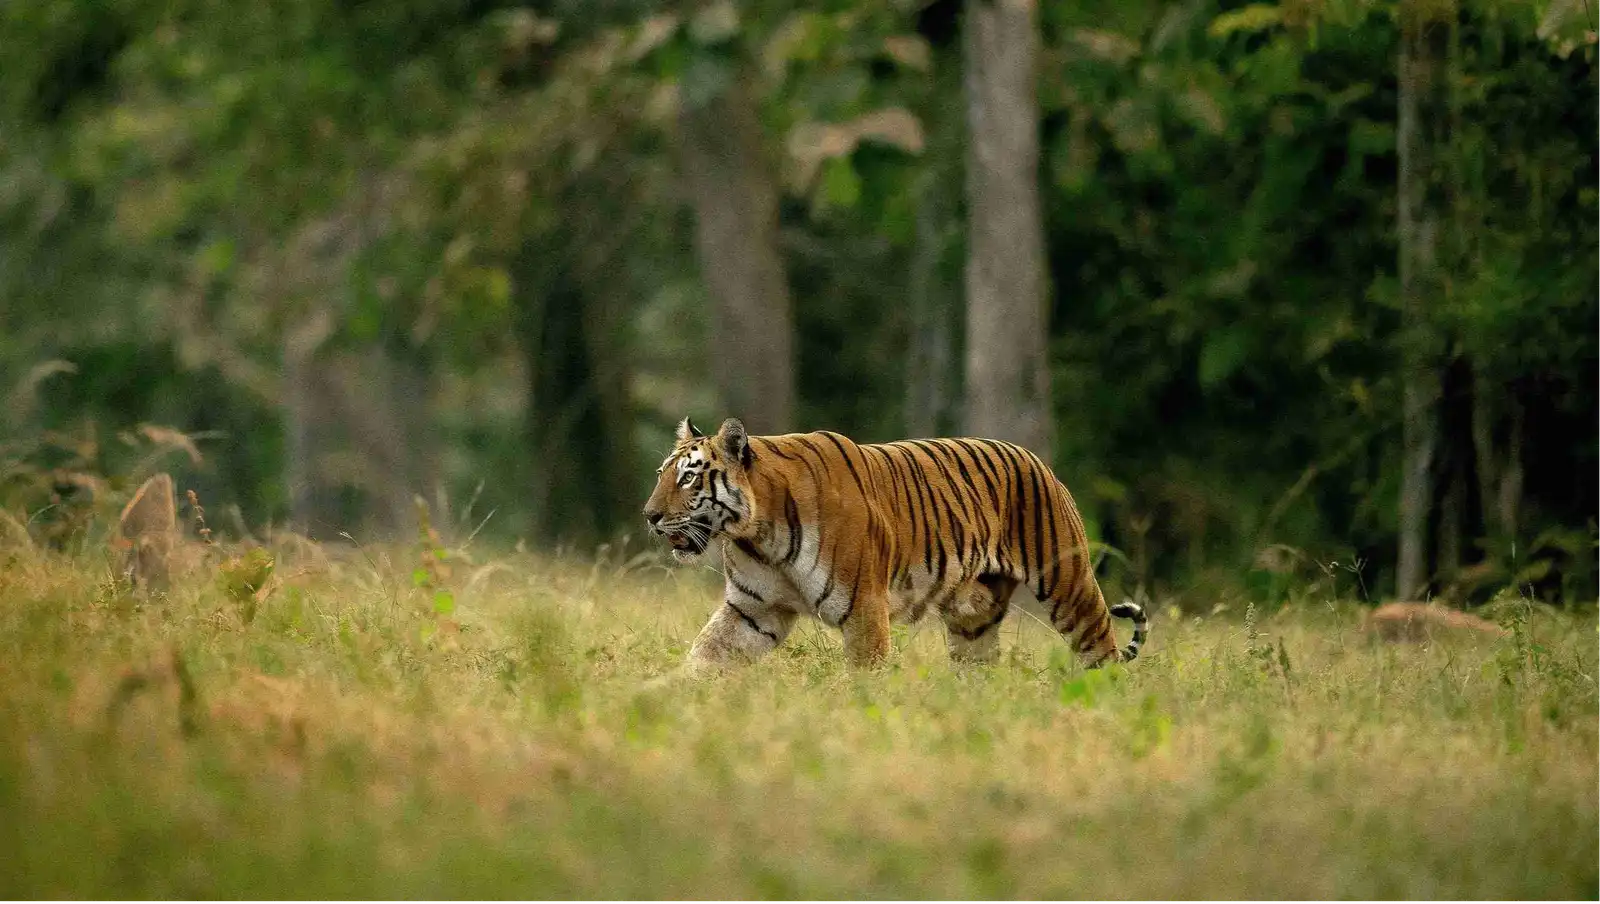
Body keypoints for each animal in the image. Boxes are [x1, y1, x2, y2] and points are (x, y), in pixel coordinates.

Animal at [642, 416, 1150, 669]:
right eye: (662, 473)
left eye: (688, 478)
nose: (649, 516)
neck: (757, 534)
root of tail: (1036, 459)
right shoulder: (753, 610)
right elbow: (703, 657)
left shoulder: (864, 609)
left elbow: (864, 679)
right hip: (973, 619)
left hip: (1069, 584)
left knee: (1102, 652)